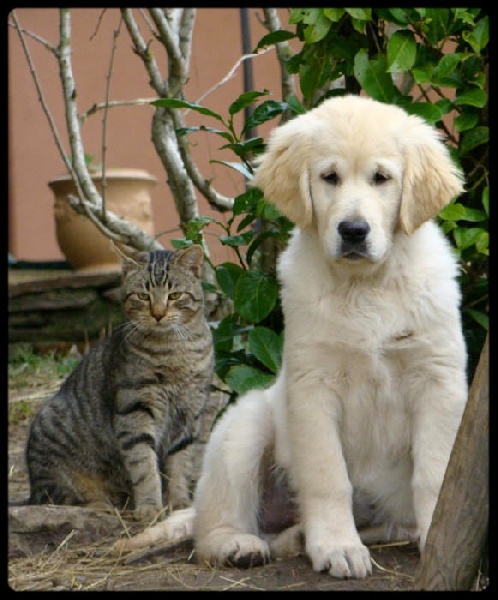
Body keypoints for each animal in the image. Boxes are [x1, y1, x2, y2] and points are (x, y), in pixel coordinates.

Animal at [26, 244, 214, 520]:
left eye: (175, 295)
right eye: (143, 296)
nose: (158, 314)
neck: (173, 351)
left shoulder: (189, 415)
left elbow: (180, 464)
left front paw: (180, 503)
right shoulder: (134, 412)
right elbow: (144, 468)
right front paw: (150, 508)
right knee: (61, 498)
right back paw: (103, 505)